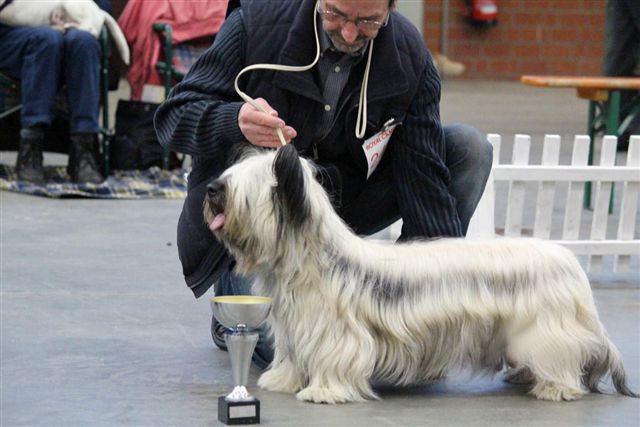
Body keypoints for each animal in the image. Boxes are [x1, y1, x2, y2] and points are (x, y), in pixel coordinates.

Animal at [204, 144, 636, 404]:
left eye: (242, 189)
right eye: (228, 177)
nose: (209, 189)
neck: (312, 258)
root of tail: (569, 262)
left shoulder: (336, 332)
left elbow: (335, 358)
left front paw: (324, 391)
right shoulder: (296, 327)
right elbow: (292, 357)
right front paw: (282, 380)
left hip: (544, 328)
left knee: (561, 357)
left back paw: (554, 387)